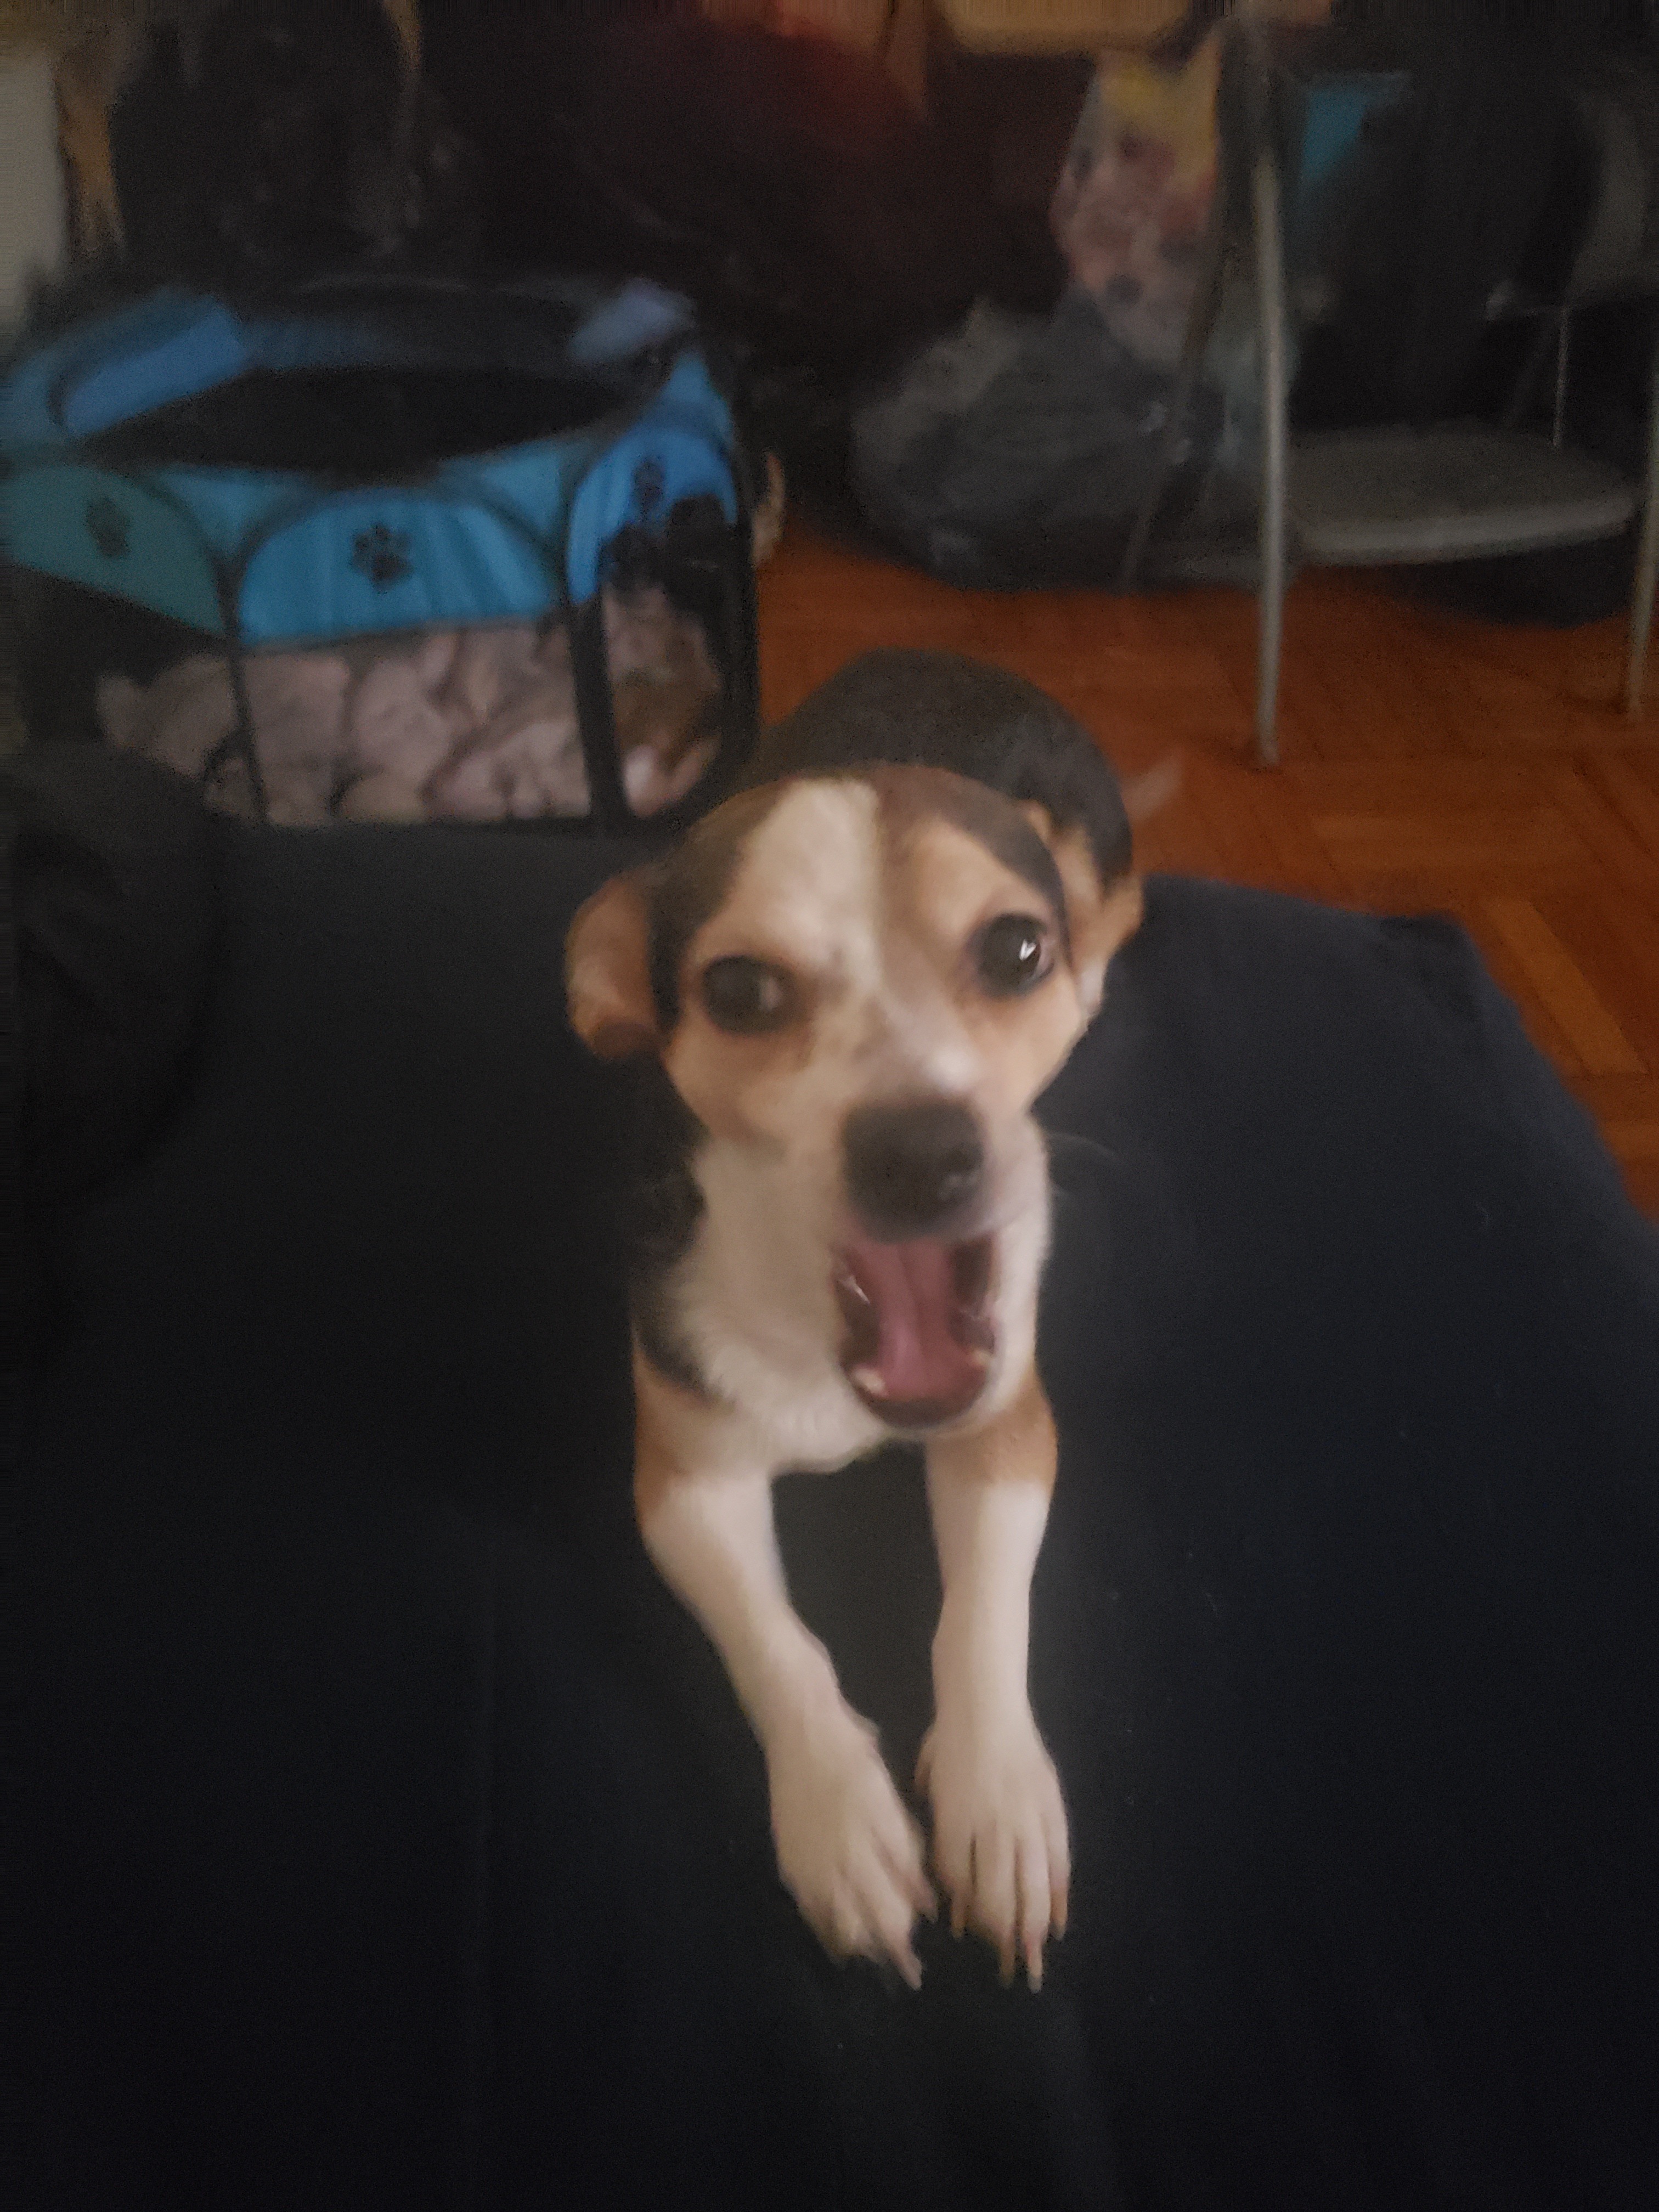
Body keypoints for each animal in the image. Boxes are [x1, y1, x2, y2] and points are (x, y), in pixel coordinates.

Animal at [565, 649, 1146, 1991]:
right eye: (737, 988)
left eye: (1016, 950)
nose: (923, 1154)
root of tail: (950, 658)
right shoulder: (684, 1482)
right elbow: (779, 1647)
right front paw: (841, 1822)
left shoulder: (1007, 1427)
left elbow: (981, 1615)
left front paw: (997, 1801)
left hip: (1101, 847)